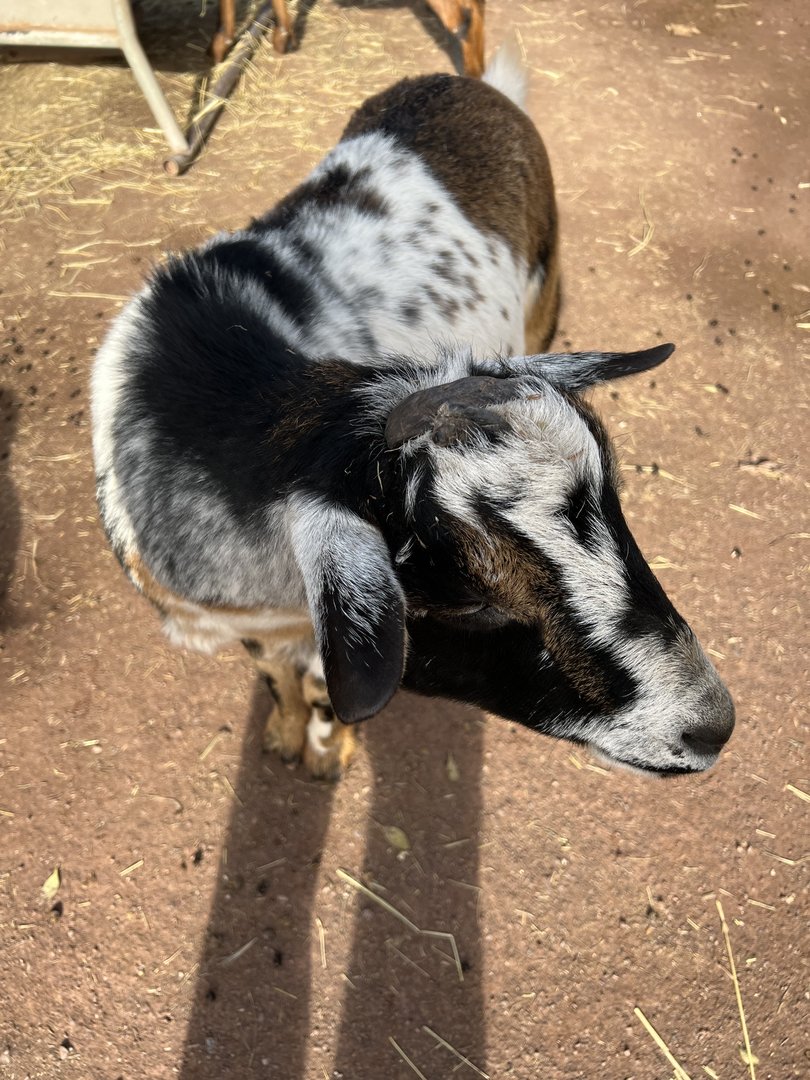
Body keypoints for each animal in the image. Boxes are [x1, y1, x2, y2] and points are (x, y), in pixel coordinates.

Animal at [91, 49, 734, 781]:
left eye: (618, 507)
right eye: (469, 601)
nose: (713, 724)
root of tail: (470, 86)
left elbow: (323, 687)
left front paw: (328, 751)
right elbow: (278, 676)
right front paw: (285, 734)